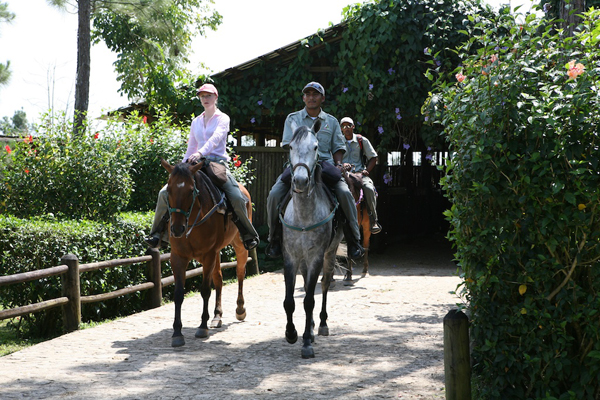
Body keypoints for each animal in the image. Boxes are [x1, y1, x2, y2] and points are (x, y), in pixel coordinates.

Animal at [161, 159, 250, 346]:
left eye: (190, 190)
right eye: (169, 189)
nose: (177, 229)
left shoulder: (208, 255)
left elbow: (205, 290)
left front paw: (202, 327)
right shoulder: (178, 257)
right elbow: (178, 294)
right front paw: (177, 333)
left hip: (239, 246)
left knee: (240, 273)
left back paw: (240, 309)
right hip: (216, 253)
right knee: (219, 279)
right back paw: (217, 316)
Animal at [280, 122, 342, 360]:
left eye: (316, 147)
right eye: (290, 147)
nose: (299, 180)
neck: (304, 215)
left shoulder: (316, 256)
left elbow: (308, 300)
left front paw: (306, 342)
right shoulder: (290, 256)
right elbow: (290, 301)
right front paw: (291, 333)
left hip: (329, 252)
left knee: (323, 285)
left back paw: (322, 324)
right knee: (308, 284)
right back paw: (314, 326)